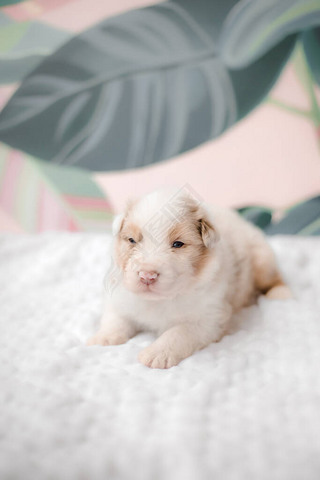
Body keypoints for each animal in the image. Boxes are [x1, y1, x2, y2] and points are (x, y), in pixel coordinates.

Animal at [86, 188, 292, 368]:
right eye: (132, 240)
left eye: (178, 244)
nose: (147, 276)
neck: (159, 300)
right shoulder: (121, 297)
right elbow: (115, 319)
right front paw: (102, 338)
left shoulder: (208, 318)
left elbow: (179, 332)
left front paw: (156, 354)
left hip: (262, 259)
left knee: (274, 279)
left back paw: (281, 294)